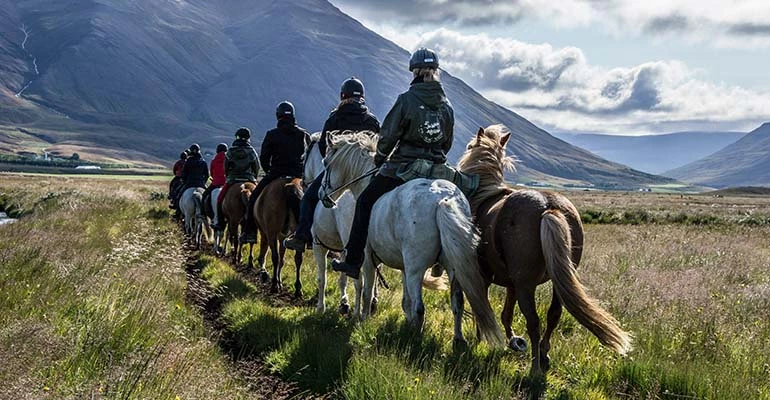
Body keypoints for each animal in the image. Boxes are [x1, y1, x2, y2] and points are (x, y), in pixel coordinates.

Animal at [318, 133, 504, 346]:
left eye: (326, 163)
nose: (322, 195)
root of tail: (443, 200)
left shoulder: (367, 259)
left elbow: (367, 292)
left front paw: (363, 321)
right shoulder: (404, 267)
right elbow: (404, 300)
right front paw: (404, 320)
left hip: (417, 268)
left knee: (420, 307)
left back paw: (413, 339)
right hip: (454, 267)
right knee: (457, 302)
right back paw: (458, 340)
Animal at [456, 125, 632, 378]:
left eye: (470, 146)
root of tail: (549, 207)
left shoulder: (487, 277)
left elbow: (483, 307)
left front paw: (483, 339)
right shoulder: (511, 283)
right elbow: (505, 314)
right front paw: (511, 341)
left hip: (526, 285)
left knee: (534, 321)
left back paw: (535, 367)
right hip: (555, 282)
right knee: (553, 315)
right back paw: (544, 354)